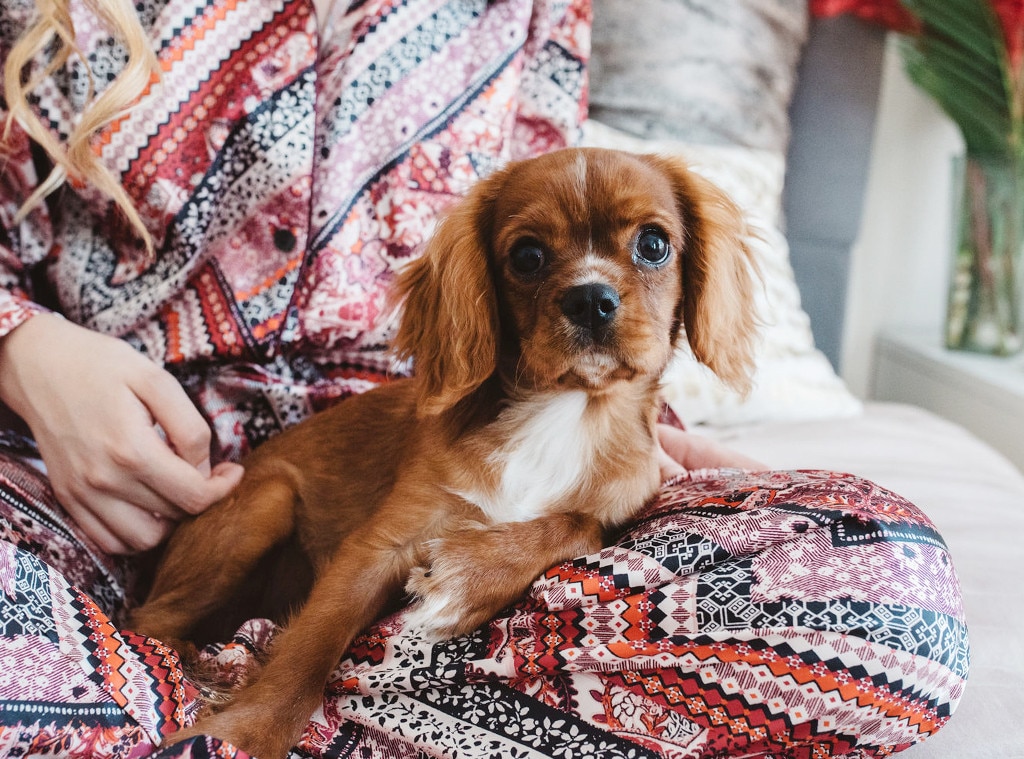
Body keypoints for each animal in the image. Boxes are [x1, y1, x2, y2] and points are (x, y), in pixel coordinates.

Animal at [128, 145, 757, 753]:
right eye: (527, 256)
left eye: (653, 244)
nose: (590, 299)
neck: (568, 411)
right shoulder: (377, 546)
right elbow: (309, 647)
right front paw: (244, 733)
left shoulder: (617, 506)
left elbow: (577, 525)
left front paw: (469, 577)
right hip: (268, 501)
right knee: (148, 618)